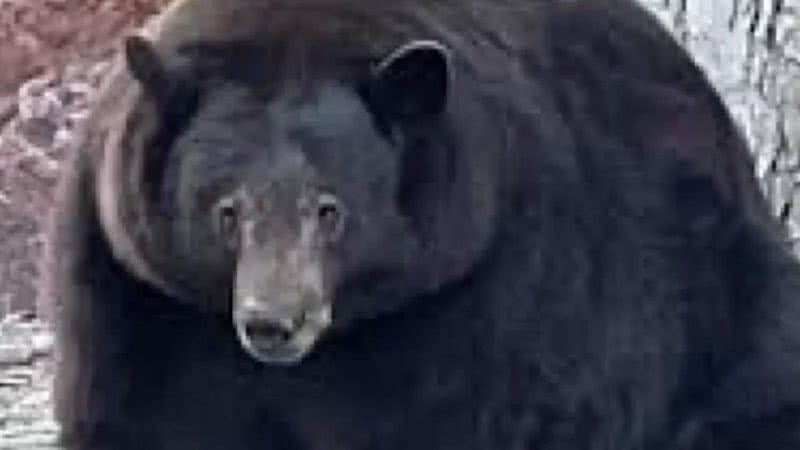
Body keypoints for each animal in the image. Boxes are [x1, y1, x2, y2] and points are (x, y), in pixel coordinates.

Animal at [42, 0, 800, 449]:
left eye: (331, 210)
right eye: (227, 211)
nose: (272, 322)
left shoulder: (498, 291)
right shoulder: (140, 299)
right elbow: (142, 417)